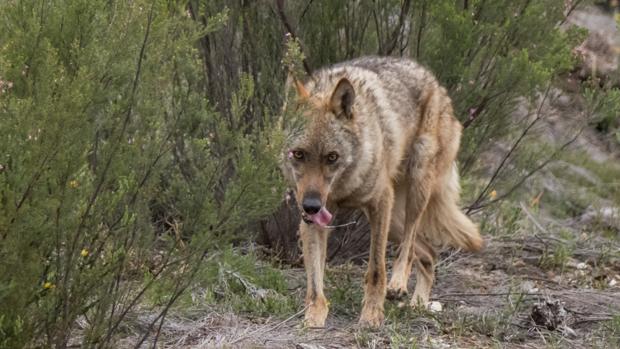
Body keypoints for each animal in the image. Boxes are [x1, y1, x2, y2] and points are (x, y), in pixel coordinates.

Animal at [282, 55, 484, 328]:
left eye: (332, 157)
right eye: (298, 154)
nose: (311, 206)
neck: (343, 187)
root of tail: (436, 84)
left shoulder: (380, 202)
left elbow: (376, 269)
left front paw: (372, 315)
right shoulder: (313, 220)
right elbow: (314, 281)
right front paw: (313, 316)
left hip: (414, 190)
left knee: (409, 246)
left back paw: (398, 284)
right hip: (393, 221)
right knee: (429, 254)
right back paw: (418, 304)